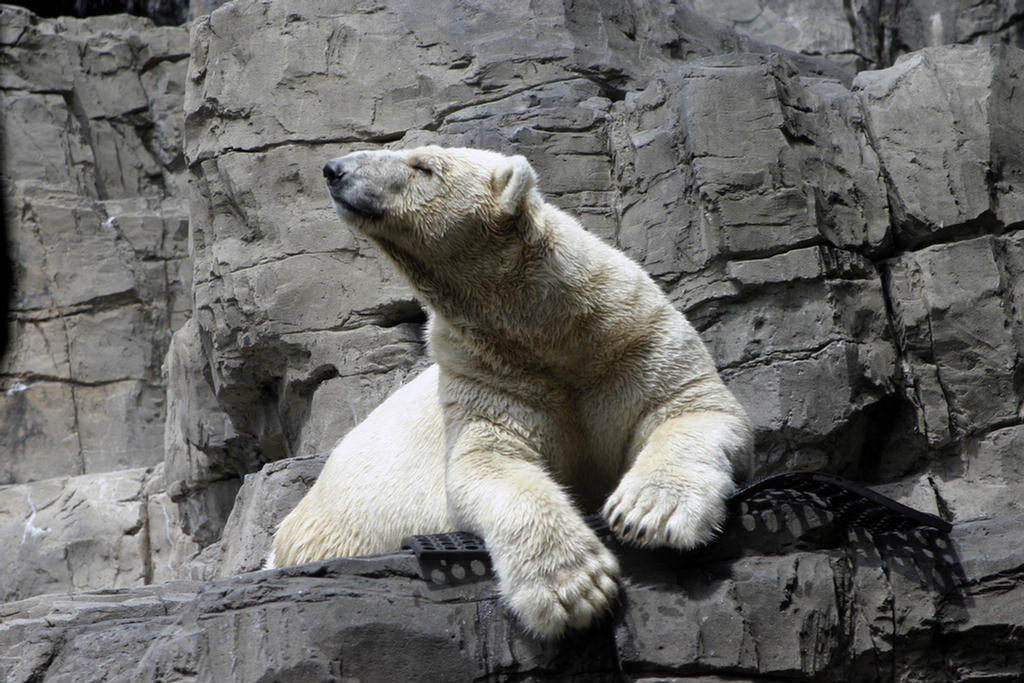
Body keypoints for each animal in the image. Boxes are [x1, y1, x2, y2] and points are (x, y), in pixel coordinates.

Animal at [272, 145, 753, 643]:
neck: (549, 329)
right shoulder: (486, 373)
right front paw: (573, 592)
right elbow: (490, 462)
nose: (334, 169)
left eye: (423, 166)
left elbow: (691, 409)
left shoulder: (634, 337)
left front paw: (650, 515)